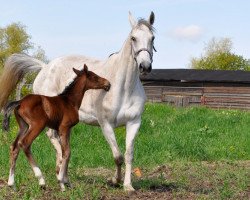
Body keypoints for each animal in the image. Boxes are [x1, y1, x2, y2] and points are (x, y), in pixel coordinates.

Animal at [0, 11, 155, 191]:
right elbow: (117, 156)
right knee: (49, 141)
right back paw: (54, 174)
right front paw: (114, 180)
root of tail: (44, 67)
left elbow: (128, 155)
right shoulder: (105, 124)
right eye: (133, 38)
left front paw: (128, 185)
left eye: (152, 38)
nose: (145, 66)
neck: (124, 87)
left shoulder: (134, 122)